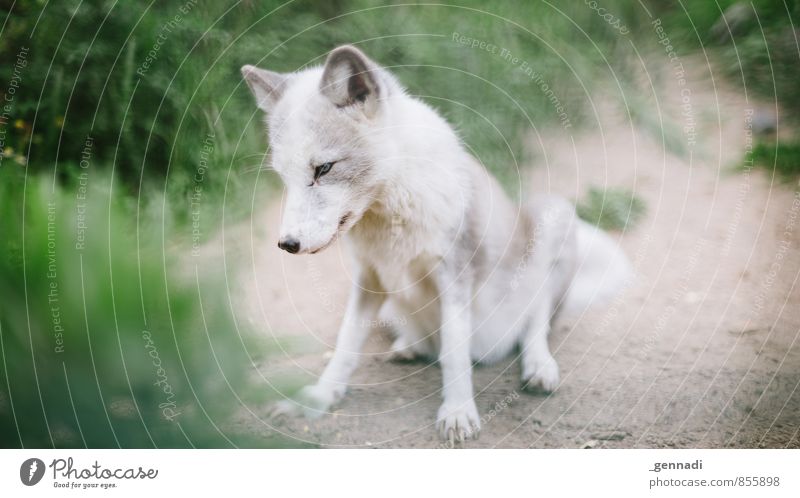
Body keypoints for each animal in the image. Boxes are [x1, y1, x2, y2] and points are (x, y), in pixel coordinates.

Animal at [244, 44, 632, 442]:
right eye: (284, 177)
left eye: (324, 169)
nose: (286, 244)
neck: (392, 211)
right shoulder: (369, 279)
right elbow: (346, 345)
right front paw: (318, 398)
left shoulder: (455, 274)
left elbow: (455, 354)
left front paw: (458, 412)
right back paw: (408, 347)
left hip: (554, 217)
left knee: (536, 320)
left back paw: (539, 366)